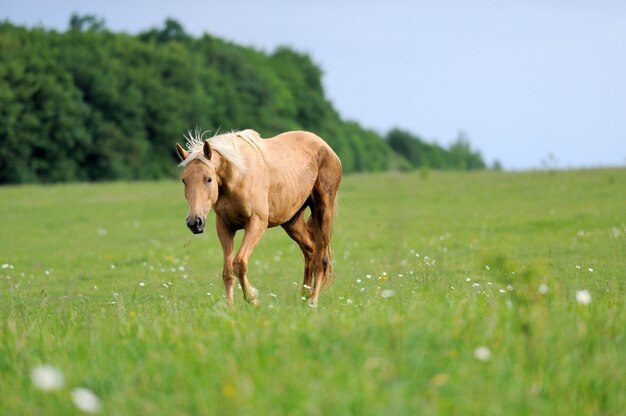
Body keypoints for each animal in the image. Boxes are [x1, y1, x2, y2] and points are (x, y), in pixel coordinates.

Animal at [176, 128, 342, 308]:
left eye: (208, 179)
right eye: (184, 180)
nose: (194, 222)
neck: (237, 176)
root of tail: (326, 147)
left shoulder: (256, 223)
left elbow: (239, 263)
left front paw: (252, 299)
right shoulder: (225, 227)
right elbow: (228, 272)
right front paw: (229, 307)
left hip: (322, 211)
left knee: (322, 259)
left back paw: (313, 301)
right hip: (292, 221)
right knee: (310, 250)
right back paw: (305, 295)